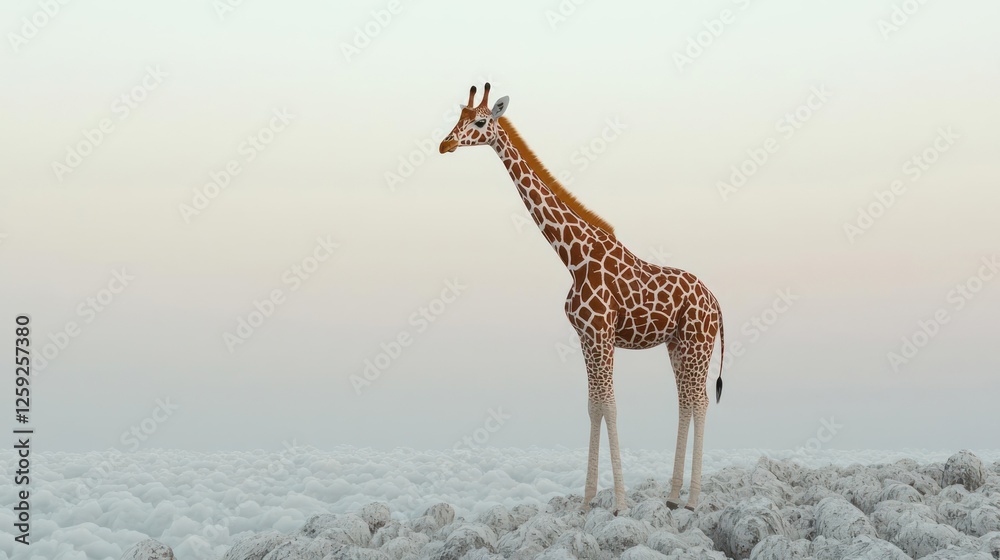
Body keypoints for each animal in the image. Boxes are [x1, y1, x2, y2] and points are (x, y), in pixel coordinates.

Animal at [439, 83, 725, 513]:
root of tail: (717, 302)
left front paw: (620, 503)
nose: (445, 144)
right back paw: (673, 497)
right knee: (686, 401)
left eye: (481, 122)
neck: (574, 257)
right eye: (459, 116)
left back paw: (691, 501)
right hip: (677, 345)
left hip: (697, 342)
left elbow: (610, 406)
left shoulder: (602, 334)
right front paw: (588, 500)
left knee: (701, 401)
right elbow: (593, 407)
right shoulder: (585, 337)